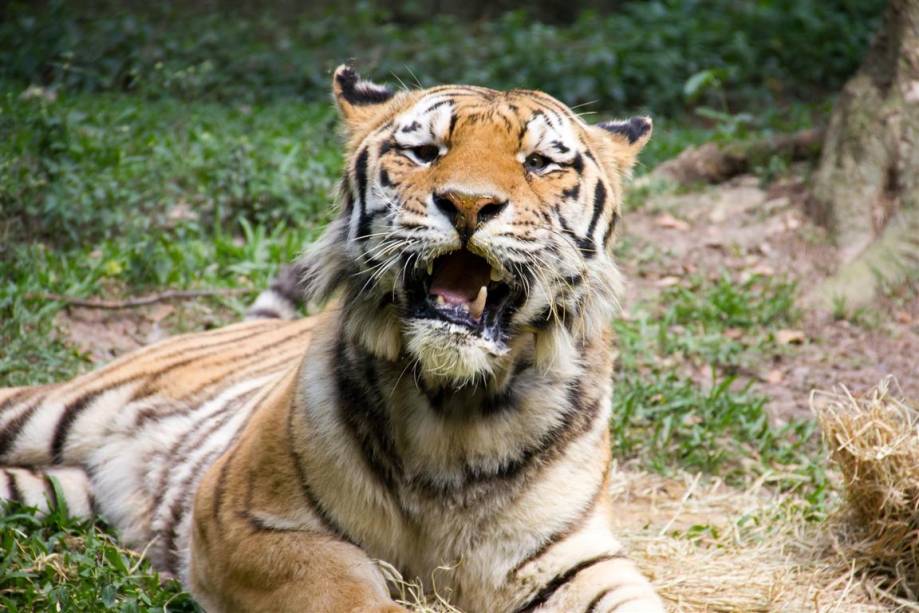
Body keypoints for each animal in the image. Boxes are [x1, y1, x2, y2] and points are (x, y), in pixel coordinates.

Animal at [0, 65, 663, 613]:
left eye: (541, 162)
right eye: (424, 152)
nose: (469, 203)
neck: (454, 411)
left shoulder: (574, 558)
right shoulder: (248, 522)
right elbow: (345, 588)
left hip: (55, 490)